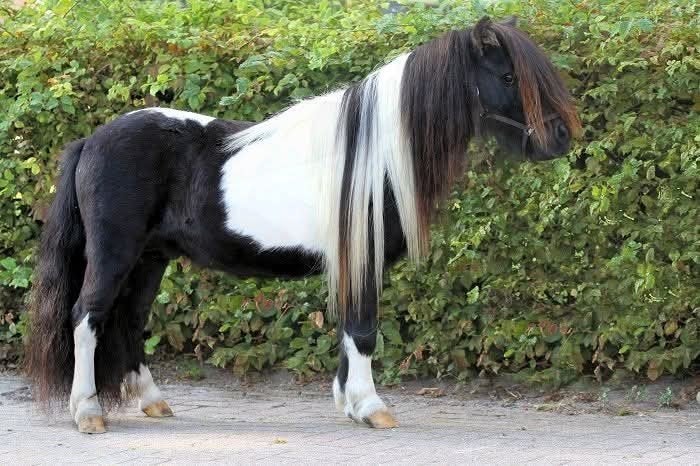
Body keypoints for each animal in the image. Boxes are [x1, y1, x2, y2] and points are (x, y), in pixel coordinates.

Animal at [25, 17, 580, 434]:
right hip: (116, 253)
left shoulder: (355, 258)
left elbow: (349, 328)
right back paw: (88, 413)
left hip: (150, 259)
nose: (558, 139)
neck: (374, 154)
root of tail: (92, 140)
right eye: (507, 78)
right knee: (87, 317)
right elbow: (363, 330)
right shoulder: (362, 254)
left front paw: (350, 404)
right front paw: (371, 408)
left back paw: (153, 401)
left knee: (129, 320)